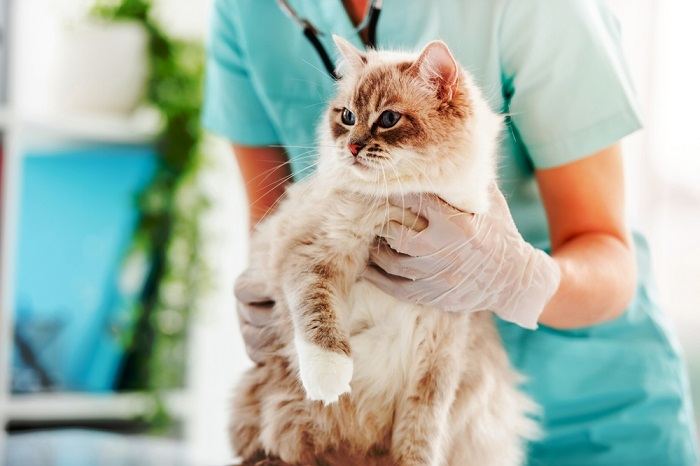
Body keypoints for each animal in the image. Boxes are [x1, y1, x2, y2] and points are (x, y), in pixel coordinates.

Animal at [230, 37, 536, 466]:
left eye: (388, 119)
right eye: (347, 116)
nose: (352, 146)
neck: (399, 203)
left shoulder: (441, 334)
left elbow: (422, 428)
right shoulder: (311, 253)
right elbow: (318, 319)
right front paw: (330, 379)